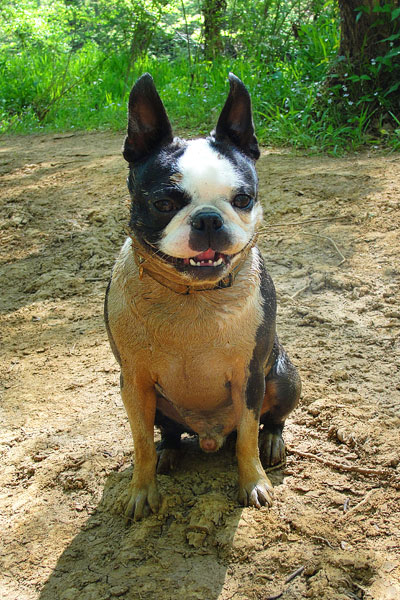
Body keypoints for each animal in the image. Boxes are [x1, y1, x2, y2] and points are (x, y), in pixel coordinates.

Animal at [104, 72, 302, 516]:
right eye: (163, 203)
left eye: (243, 199)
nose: (209, 219)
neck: (194, 295)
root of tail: (210, 437)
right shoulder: (134, 384)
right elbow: (140, 443)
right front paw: (141, 490)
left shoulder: (249, 377)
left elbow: (247, 436)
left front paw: (253, 482)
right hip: (159, 403)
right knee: (169, 433)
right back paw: (170, 452)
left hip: (283, 376)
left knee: (268, 421)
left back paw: (272, 440)